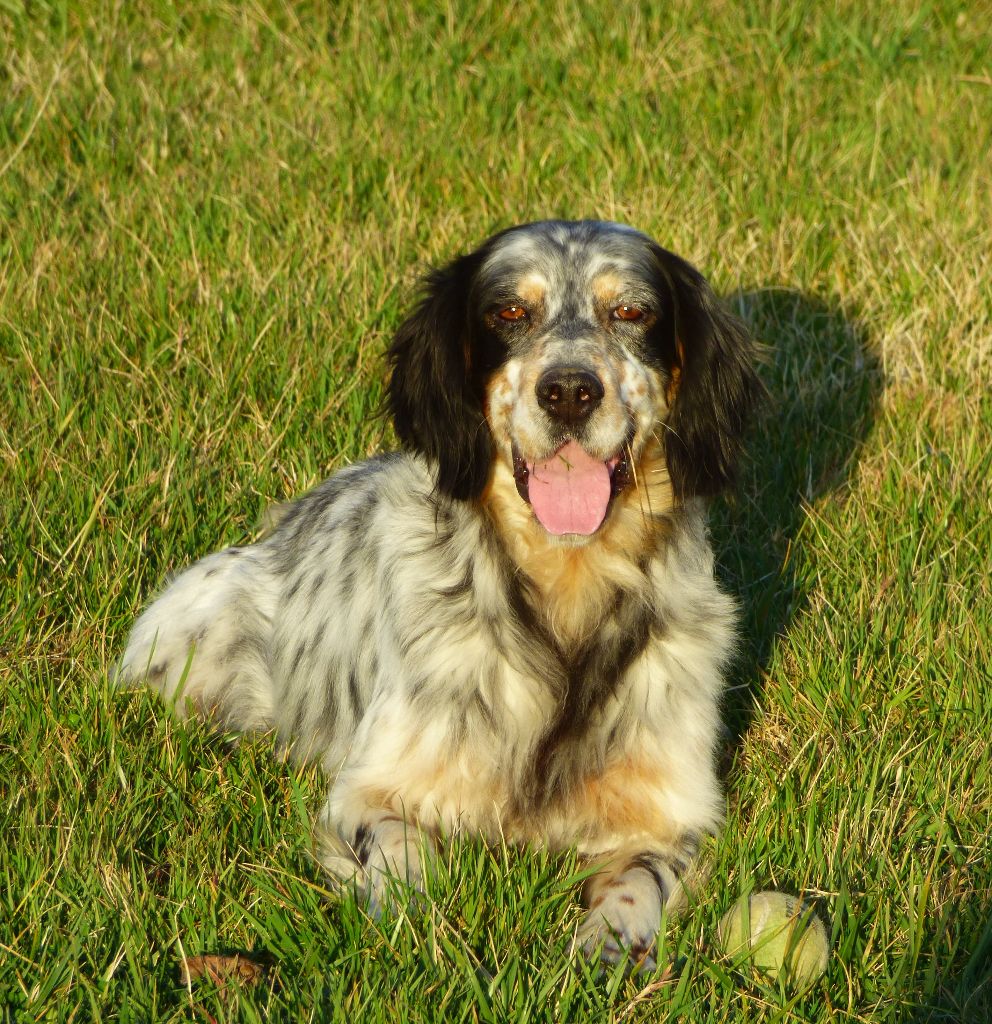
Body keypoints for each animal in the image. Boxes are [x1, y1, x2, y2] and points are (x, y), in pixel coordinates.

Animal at [121, 220, 757, 970]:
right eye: (508, 312)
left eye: (631, 311)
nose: (570, 391)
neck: (566, 583)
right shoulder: (372, 790)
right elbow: (402, 852)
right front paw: (414, 920)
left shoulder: (670, 814)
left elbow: (638, 875)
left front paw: (609, 941)